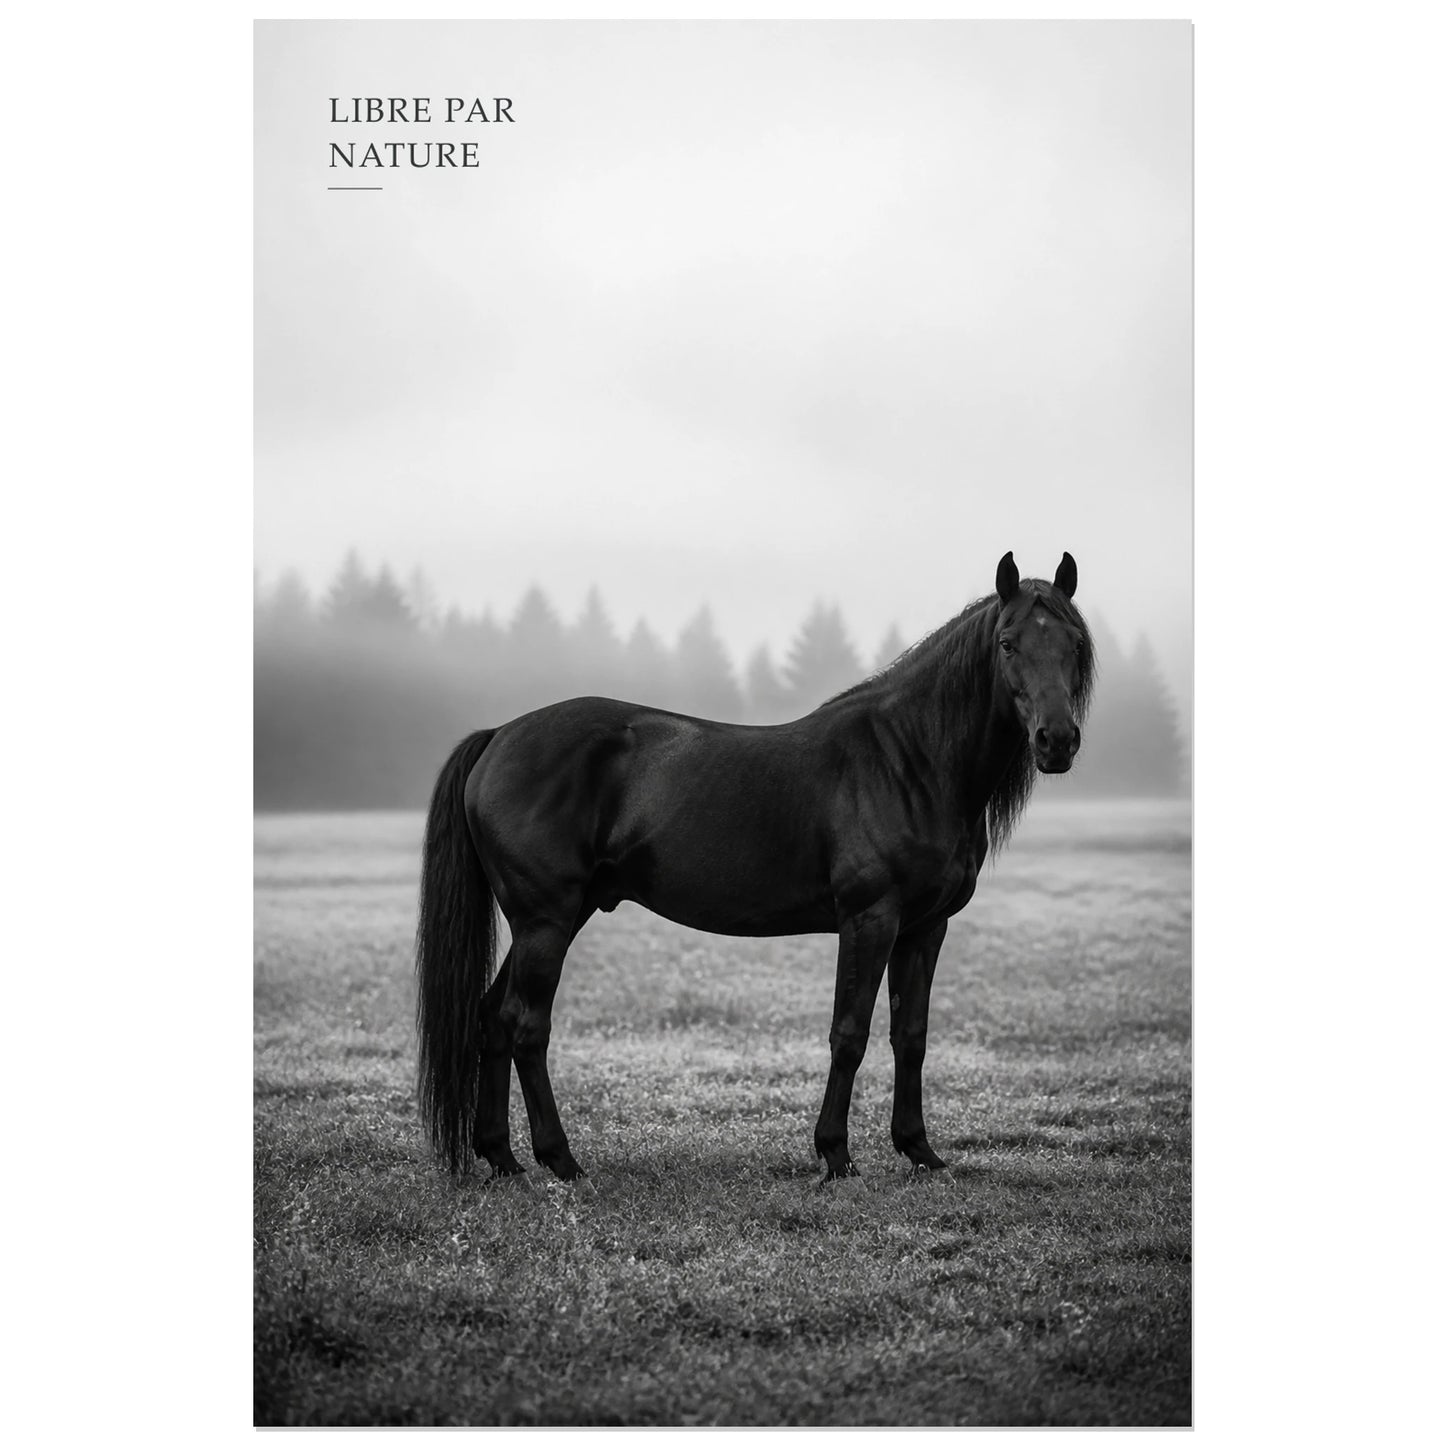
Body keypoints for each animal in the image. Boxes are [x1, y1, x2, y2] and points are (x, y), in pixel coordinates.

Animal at [416, 551, 1094, 1183]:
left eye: (1074, 644)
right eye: (1008, 643)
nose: (1057, 741)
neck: (910, 760)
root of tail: (500, 736)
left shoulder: (925, 928)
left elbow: (911, 1036)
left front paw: (920, 1151)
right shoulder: (869, 919)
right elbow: (849, 1033)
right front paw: (835, 1156)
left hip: (554, 917)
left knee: (492, 1018)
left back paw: (503, 1158)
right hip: (546, 921)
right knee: (524, 1024)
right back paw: (562, 1161)